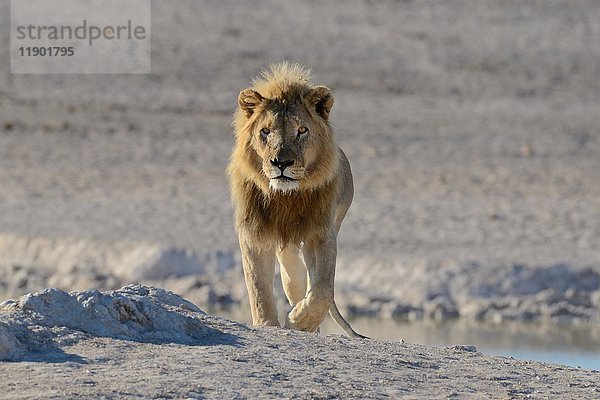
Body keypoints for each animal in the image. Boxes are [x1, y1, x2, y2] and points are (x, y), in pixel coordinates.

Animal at [227, 62, 364, 338]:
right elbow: (258, 287)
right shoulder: (254, 232)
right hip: (287, 252)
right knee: (292, 281)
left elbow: (323, 291)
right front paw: (267, 324)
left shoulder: (322, 233)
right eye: (265, 131)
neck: (286, 197)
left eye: (302, 130)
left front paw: (297, 322)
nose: (281, 163)